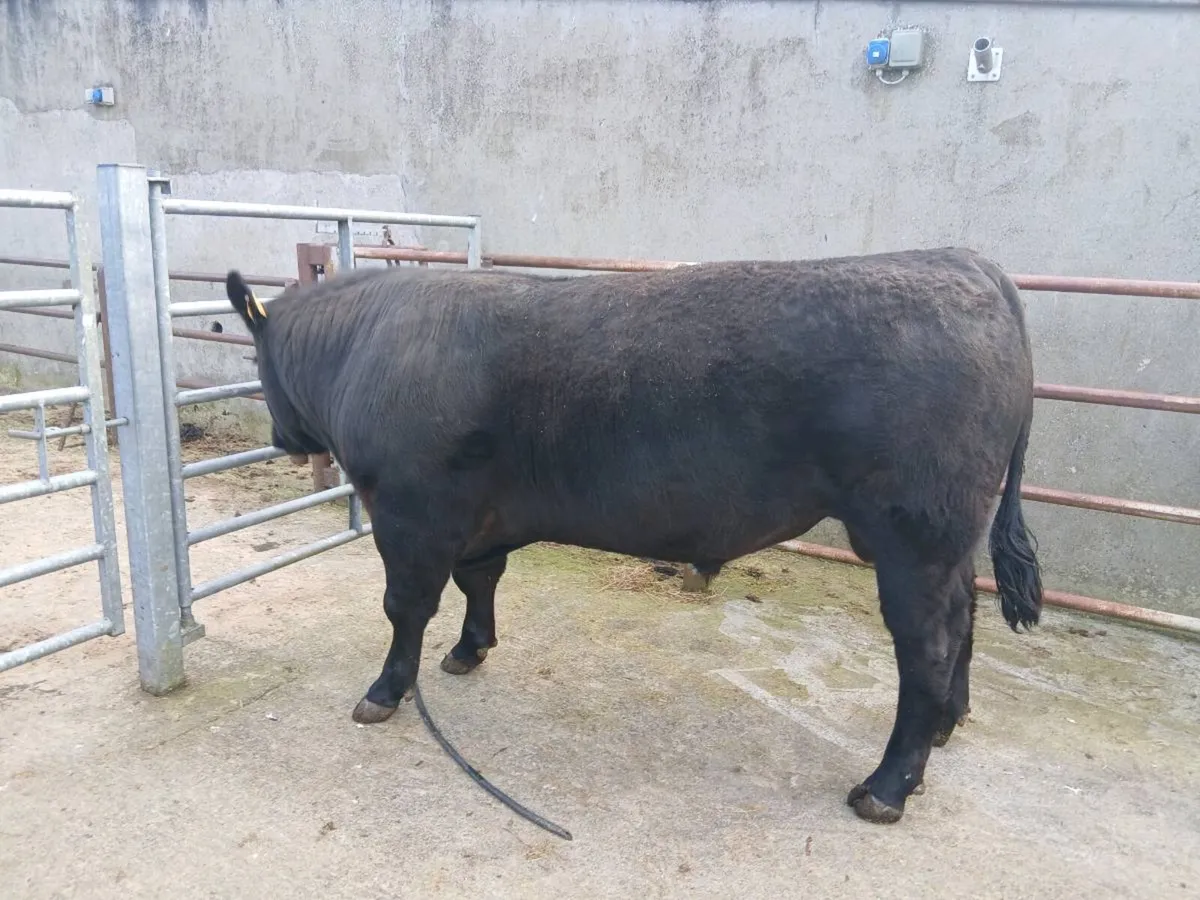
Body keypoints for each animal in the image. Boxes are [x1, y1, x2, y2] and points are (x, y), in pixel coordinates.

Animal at [225, 247, 1043, 825]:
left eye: (256, 361)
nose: (280, 438)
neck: (364, 345)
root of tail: (962, 261)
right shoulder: (478, 519)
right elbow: (479, 579)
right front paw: (469, 650)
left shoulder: (408, 512)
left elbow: (405, 607)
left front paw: (386, 691)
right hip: (945, 538)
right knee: (965, 613)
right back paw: (948, 724)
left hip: (911, 533)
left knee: (926, 644)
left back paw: (888, 785)